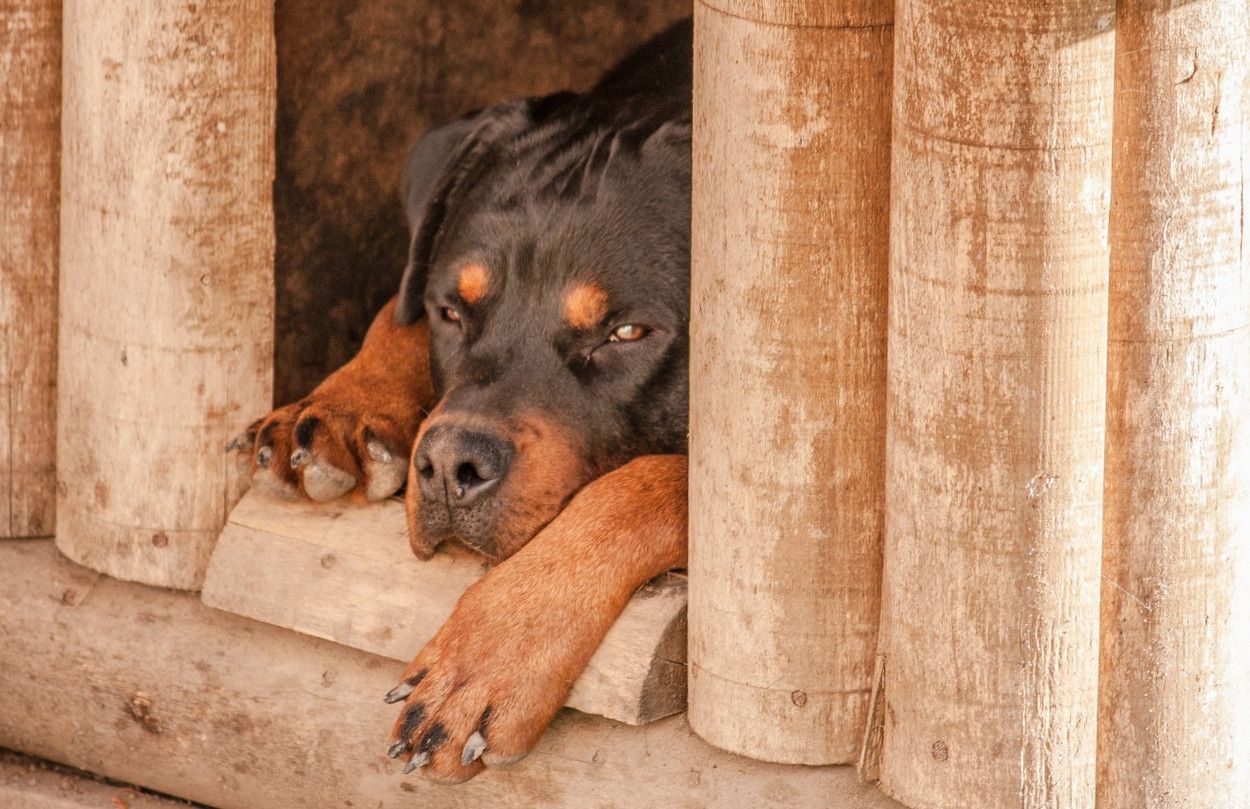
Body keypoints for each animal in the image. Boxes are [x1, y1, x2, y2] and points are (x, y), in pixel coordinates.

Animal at [228, 17, 690, 785]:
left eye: (626, 333)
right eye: (451, 310)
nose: (449, 466)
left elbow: (648, 481)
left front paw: (489, 655)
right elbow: (396, 309)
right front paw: (337, 407)